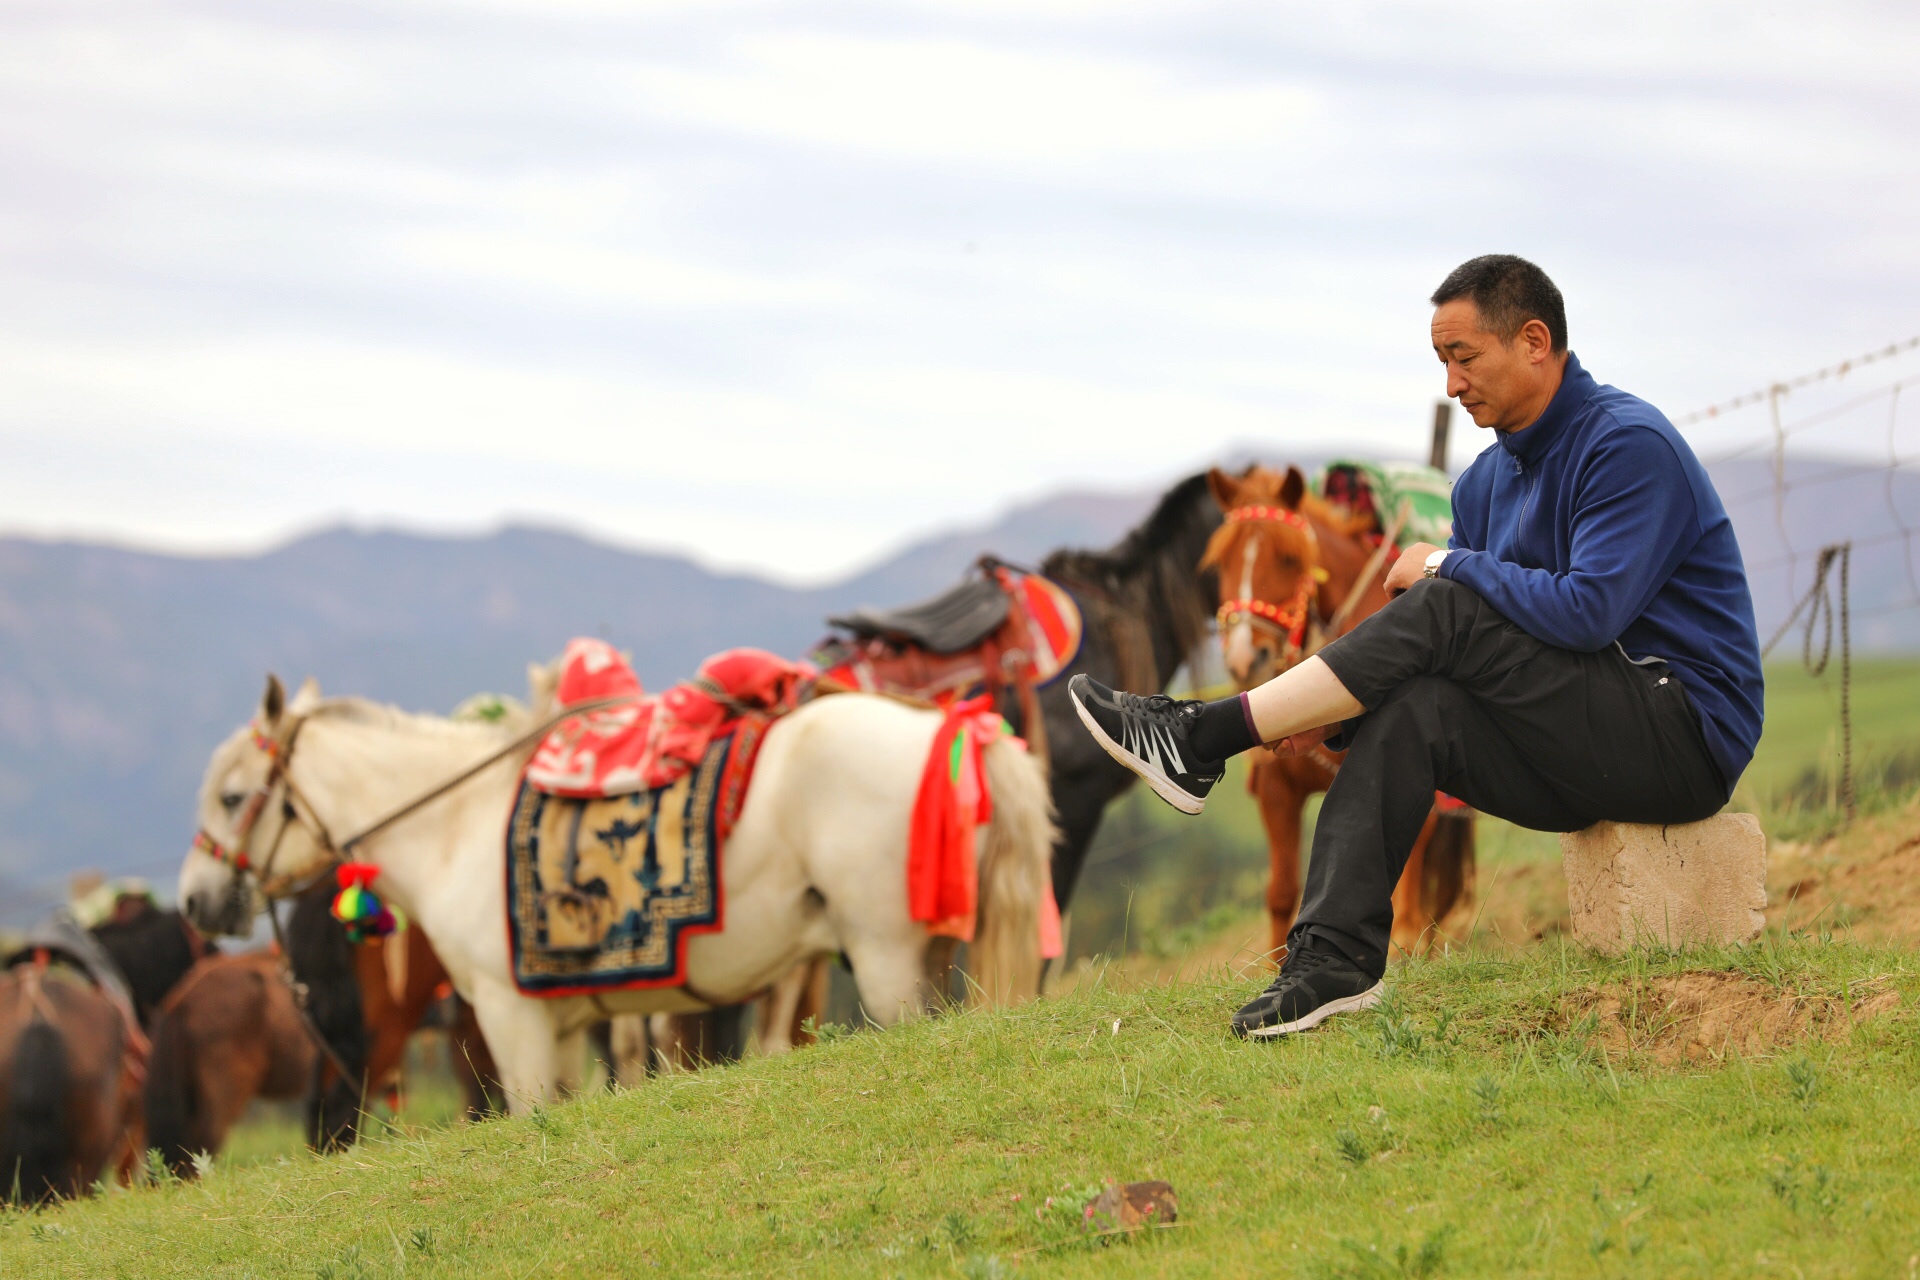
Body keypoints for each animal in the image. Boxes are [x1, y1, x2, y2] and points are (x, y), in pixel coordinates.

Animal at [178, 671, 1052, 1113]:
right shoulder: (563, 1026)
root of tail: (955, 723)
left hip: (882, 954)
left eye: (231, 796)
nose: (194, 901)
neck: (459, 823)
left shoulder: (510, 1014)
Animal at [1205, 462, 1474, 959]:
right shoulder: (1277, 791)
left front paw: (1402, 945)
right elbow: (1281, 893)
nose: (1245, 659)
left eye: (1289, 559)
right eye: (1221, 563)